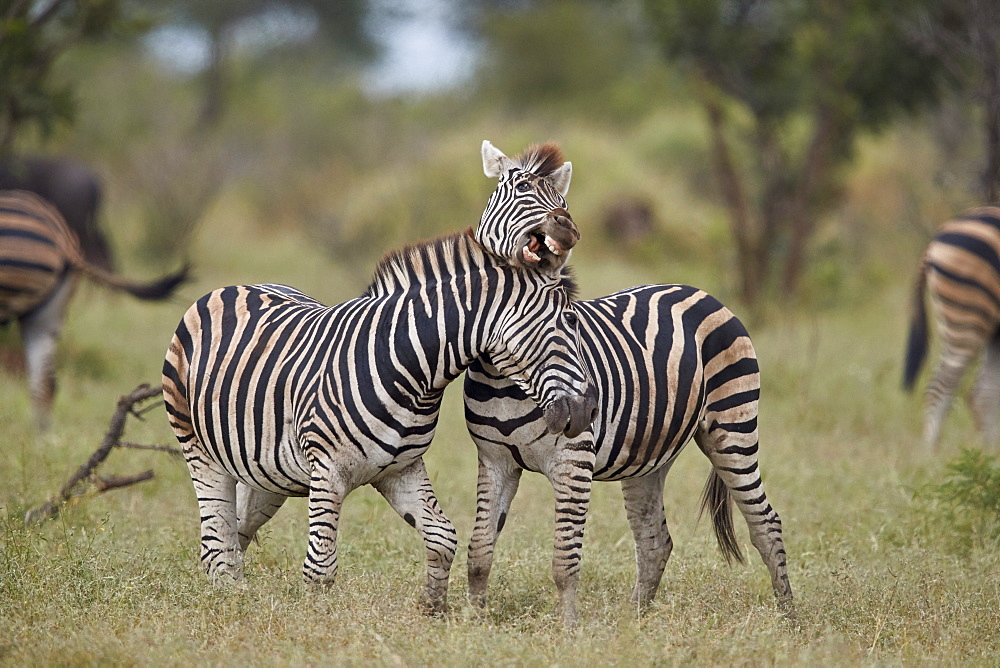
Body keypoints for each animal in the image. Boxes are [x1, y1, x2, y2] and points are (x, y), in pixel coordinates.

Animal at [161, 140, 596, 612]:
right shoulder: (327, 470)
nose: (585, 411)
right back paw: (229, 602)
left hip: (264, 467)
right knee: (216, 545)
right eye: (565, 325)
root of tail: (232, 287)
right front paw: (312, 623)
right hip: (199, 449)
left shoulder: (399, 468)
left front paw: (432, 611)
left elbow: (443, 538)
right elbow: (320, 567)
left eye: (563, 198)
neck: (414, 371)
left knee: (234, 532)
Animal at [464, 280, 792, 620]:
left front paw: (567, 626)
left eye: (571, 322)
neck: (503, 384)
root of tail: (701, 293)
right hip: (648, 456)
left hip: (733, 429)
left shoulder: (573, 460)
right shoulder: (496, 462)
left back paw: (787, 616)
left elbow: (564, 561)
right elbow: (480, 549)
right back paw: (634, 620)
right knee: (655, 541)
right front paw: (474, 620)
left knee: (765, 523)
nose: (586, 410)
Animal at [904, 206, 1000, 452]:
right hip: (967, 313)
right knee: (940, 387)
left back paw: (989, 454)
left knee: (983, 392)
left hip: (993, 329)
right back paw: (931, 456)